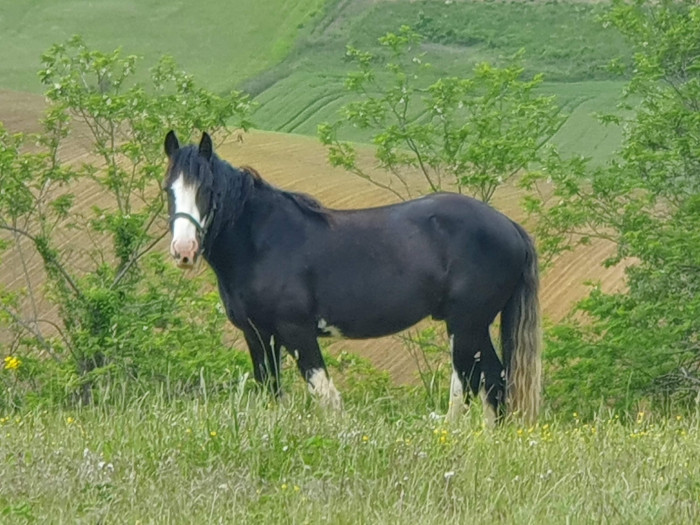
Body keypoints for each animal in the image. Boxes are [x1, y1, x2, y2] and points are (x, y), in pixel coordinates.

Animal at [163, 131, 540, 422]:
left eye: (207, 189)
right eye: (169, 189)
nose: (184, 250)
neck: (262, 240)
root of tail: (510, 227)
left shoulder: (296, 331)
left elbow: (325, 396)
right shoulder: (258, 336)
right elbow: (271, 391)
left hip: (466, 326)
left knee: (481, 384)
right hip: (472, 328)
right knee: (487, 383)